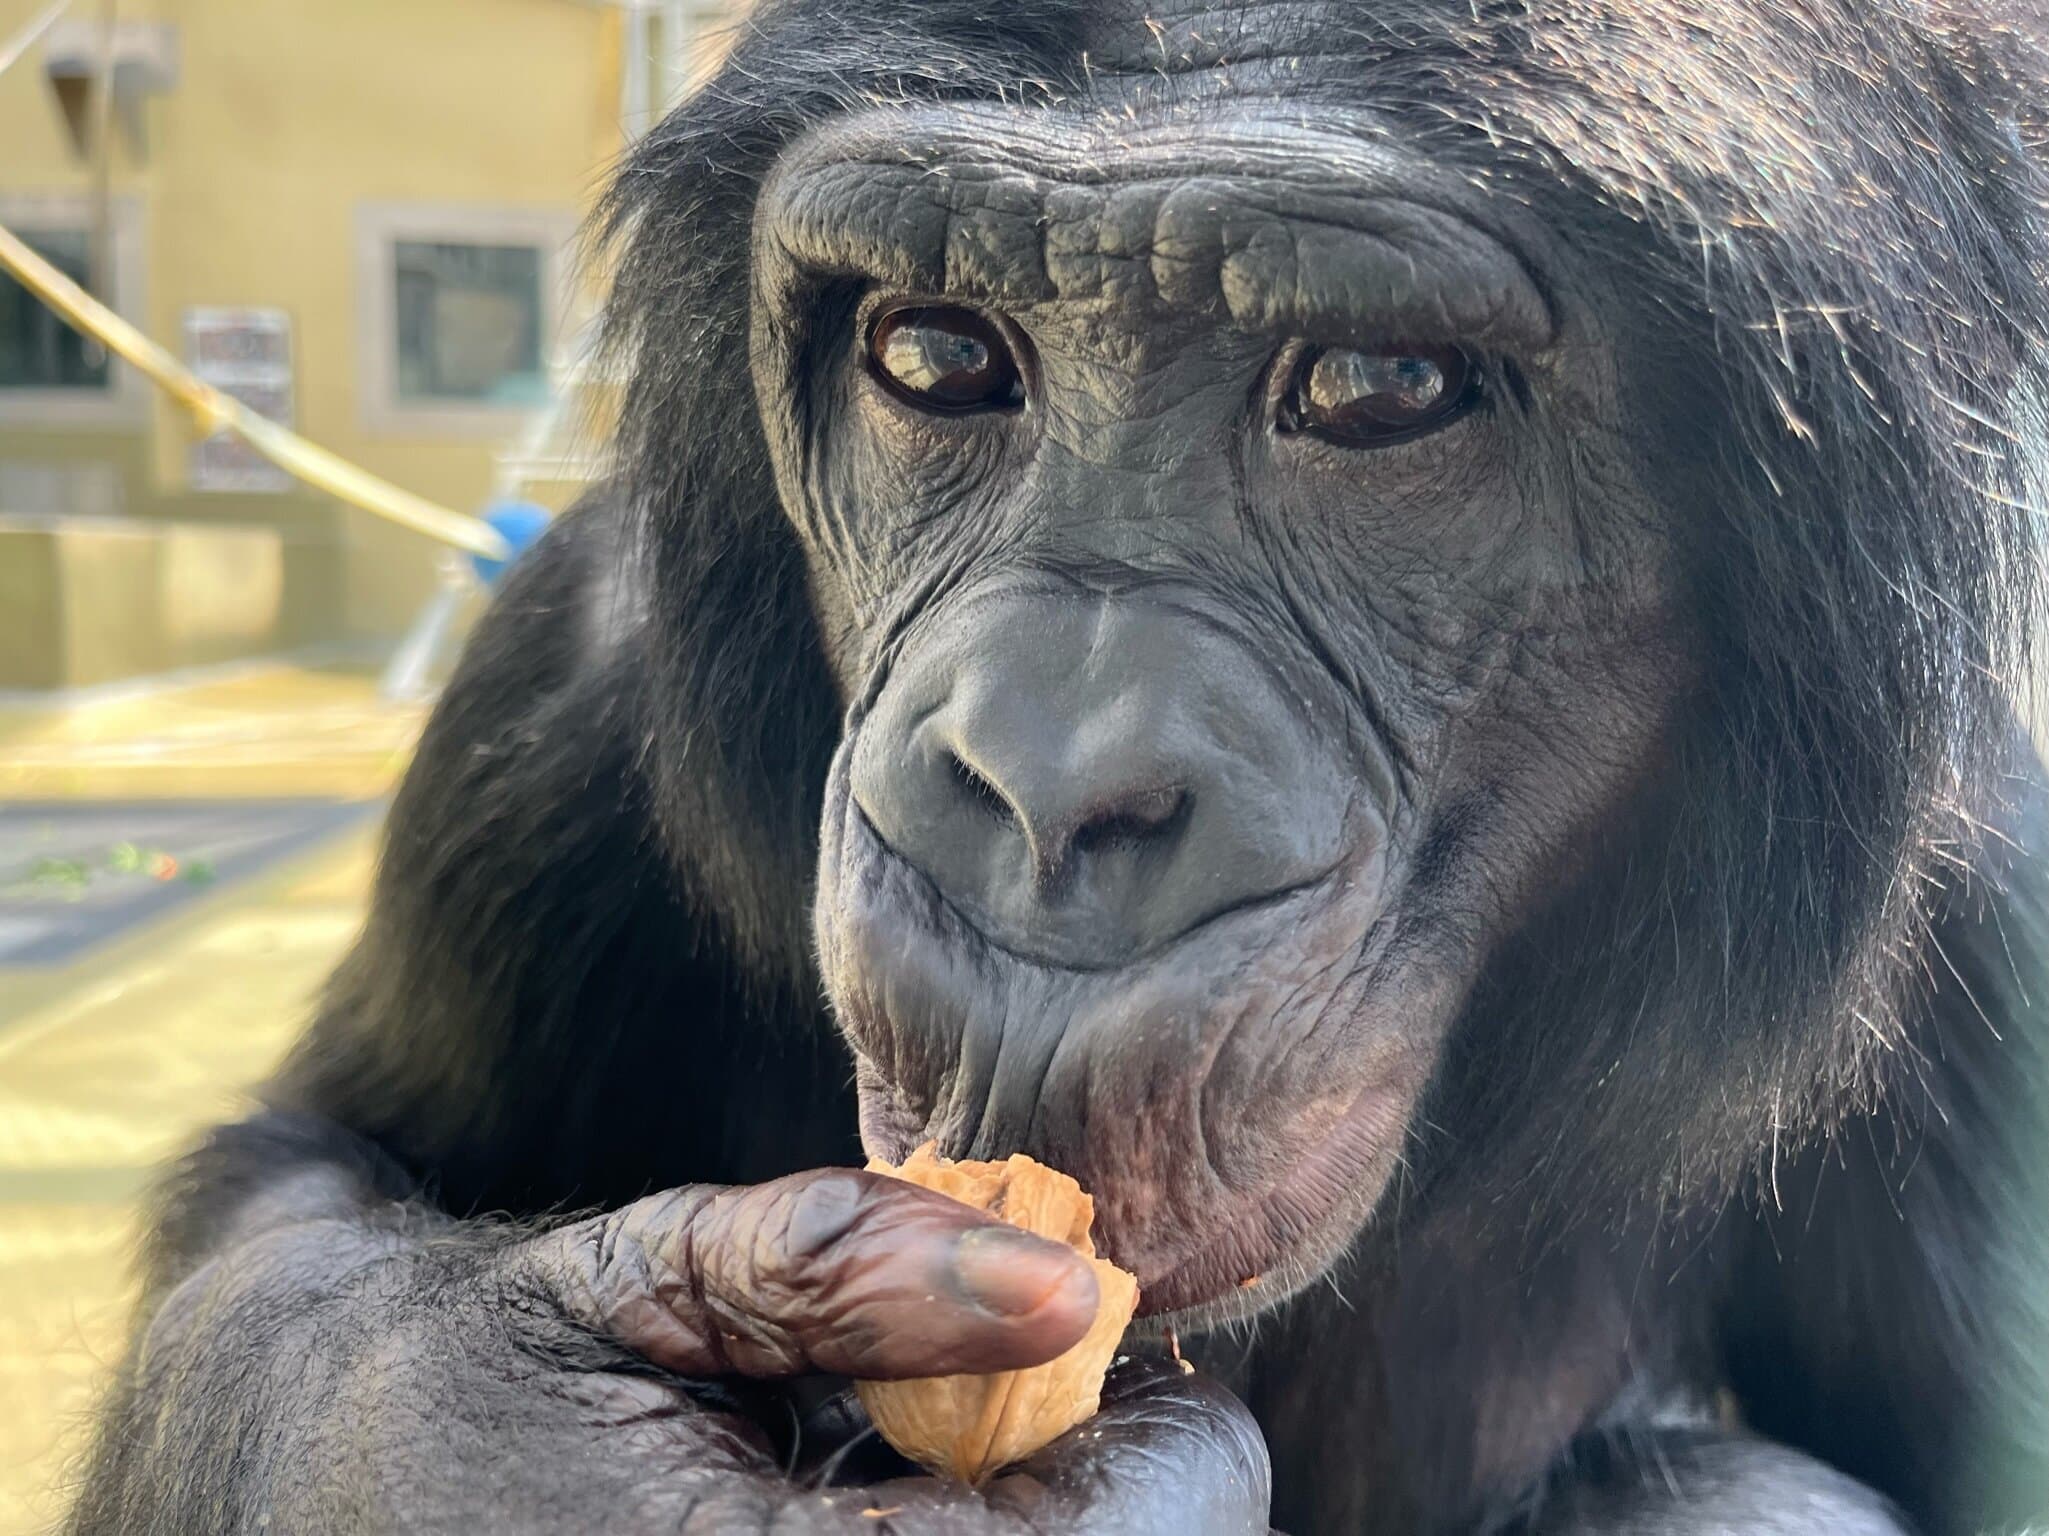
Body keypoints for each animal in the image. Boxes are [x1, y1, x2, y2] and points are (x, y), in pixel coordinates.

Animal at [64, 3, 2049, 1536]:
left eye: (1381, 389)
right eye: (938, 354)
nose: (1040, 780)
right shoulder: (550, 693)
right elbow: (315, 1163)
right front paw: (499, 1446)